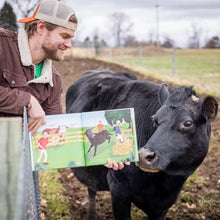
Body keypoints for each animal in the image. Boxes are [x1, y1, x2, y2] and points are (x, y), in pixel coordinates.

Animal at [65, 70, 217, 220]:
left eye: (188, 123)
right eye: (154, 119)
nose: (144, 155)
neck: (164, 183)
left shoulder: (164, 206)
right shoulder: (118, 188)